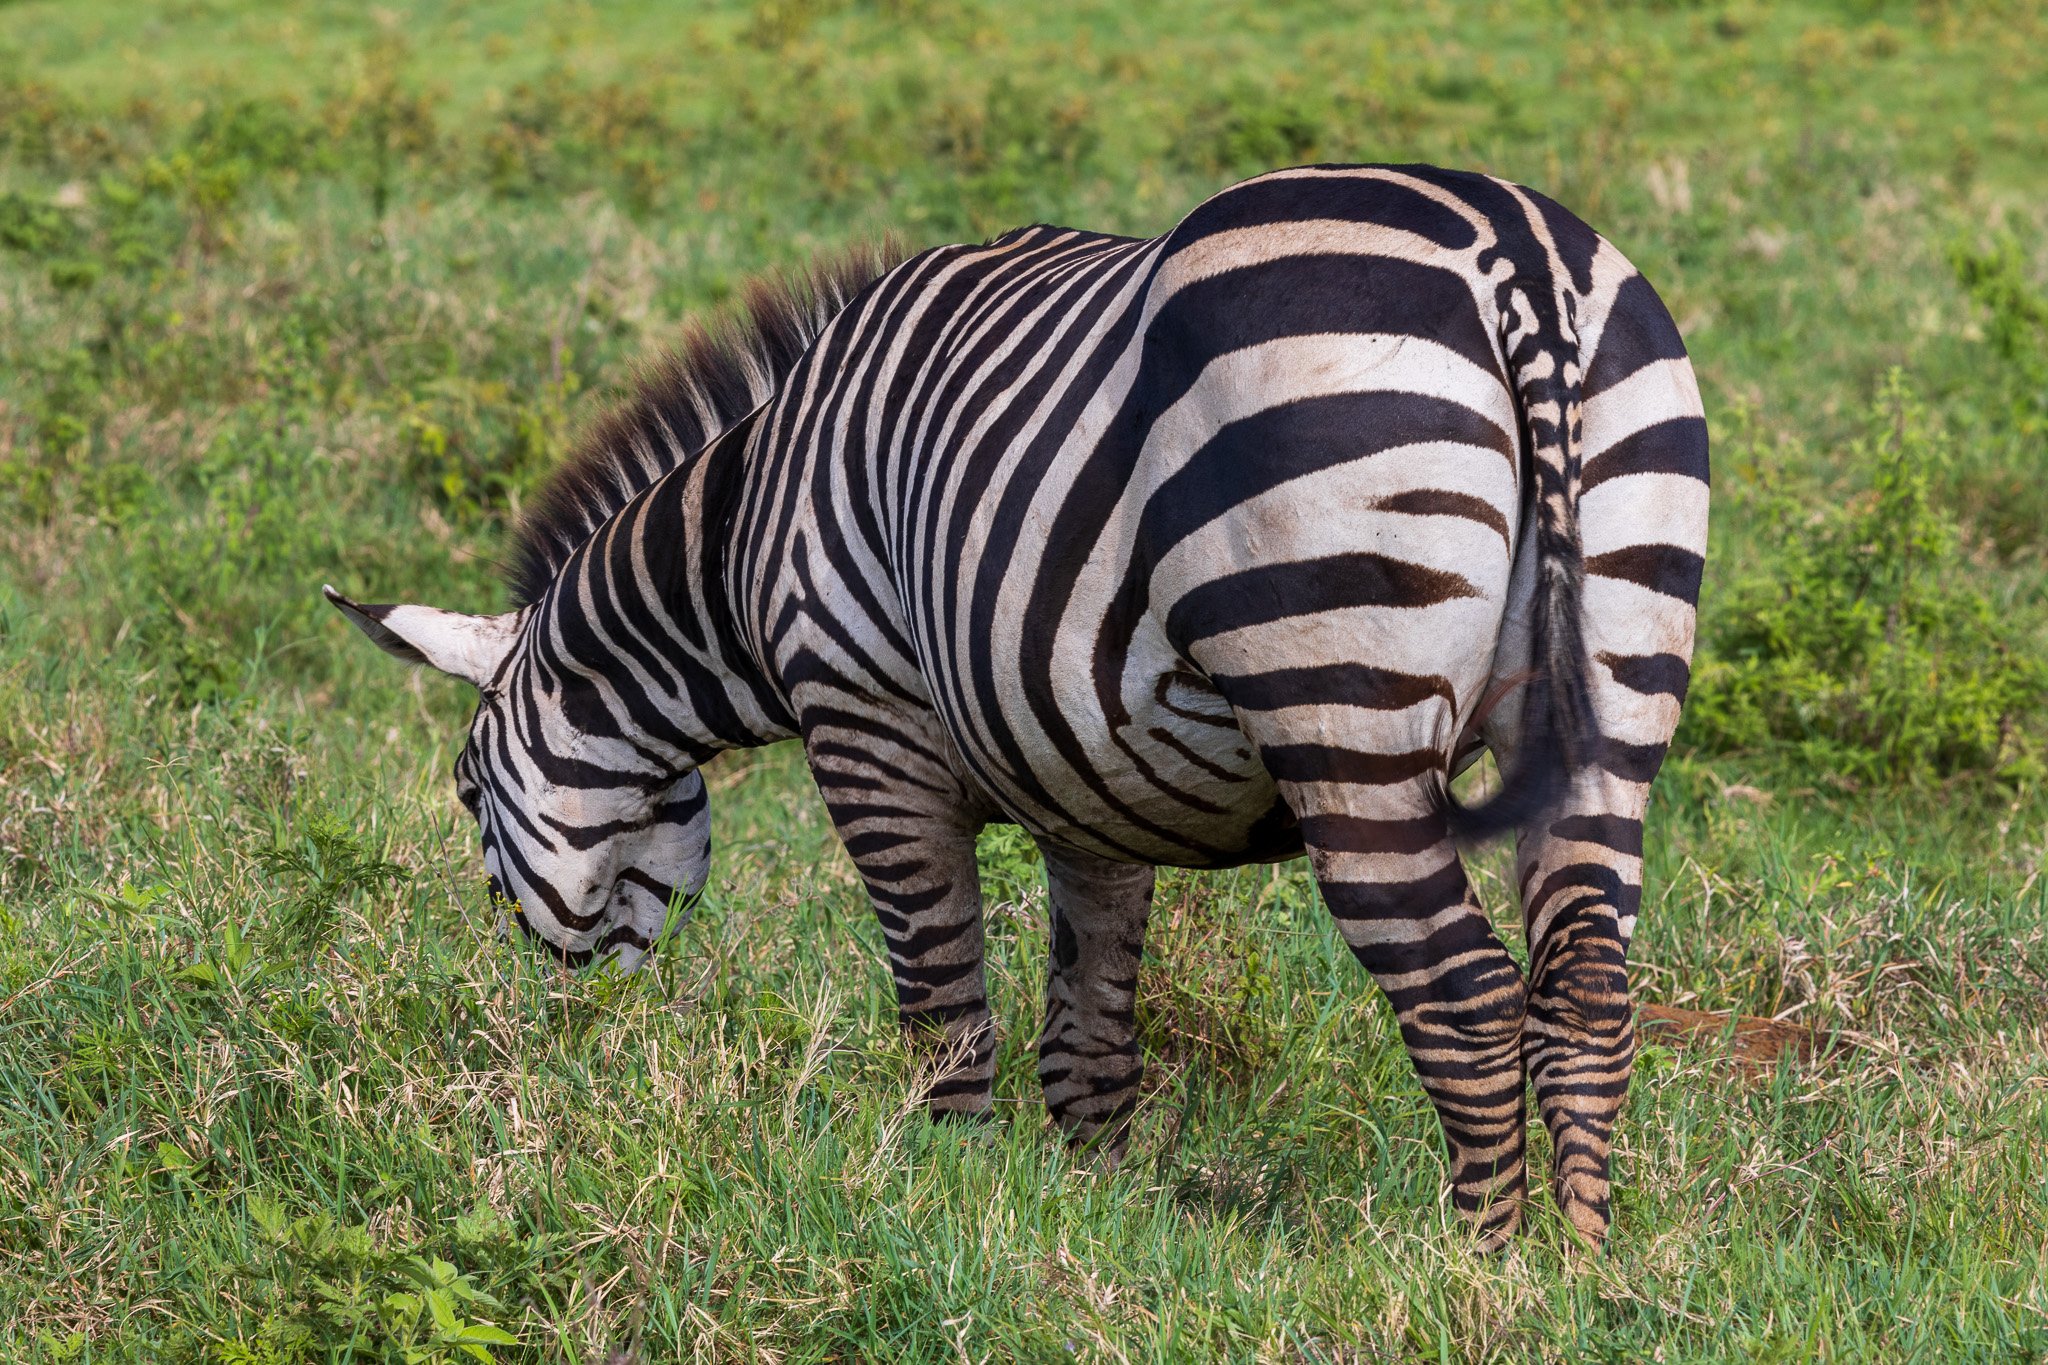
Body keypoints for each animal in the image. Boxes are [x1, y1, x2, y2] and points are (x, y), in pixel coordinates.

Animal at [331, 162, 1712, 1252]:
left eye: (465, 791)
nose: (573, 1037)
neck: (740, 542)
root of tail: (1512, 260)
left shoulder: (865, 721)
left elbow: (939, 1001)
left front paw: (938, 1196)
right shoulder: (1092, 782)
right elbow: (1089, 1037)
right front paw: (1100, 1208)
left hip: (1336, 694)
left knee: (1463, 991)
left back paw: (1477, 1265)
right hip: (1616, 677)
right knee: (1585, 985)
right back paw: (1580, 1265)